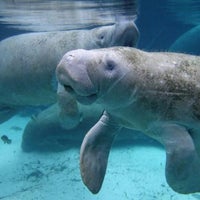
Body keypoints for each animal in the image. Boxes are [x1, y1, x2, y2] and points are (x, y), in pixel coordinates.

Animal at [55, 46, 200, 194]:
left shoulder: (171, 123)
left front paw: (193, 186)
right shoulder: (115, 115)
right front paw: (92, 183)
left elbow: (179, 165)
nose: (69, 56)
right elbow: (92, 140)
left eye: (110, 65)